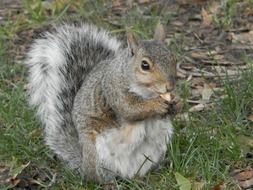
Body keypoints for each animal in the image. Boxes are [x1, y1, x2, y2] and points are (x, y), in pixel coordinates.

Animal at [25, 22, 176, 183]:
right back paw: (107, 182)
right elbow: (129, 110)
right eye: (145, 65)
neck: (147, 92)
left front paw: (177, 103)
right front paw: (155, 104)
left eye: (173, 58)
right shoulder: (113, 90)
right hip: (96, 155)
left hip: (156, 149)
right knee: (98, 178)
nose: (170, 86)